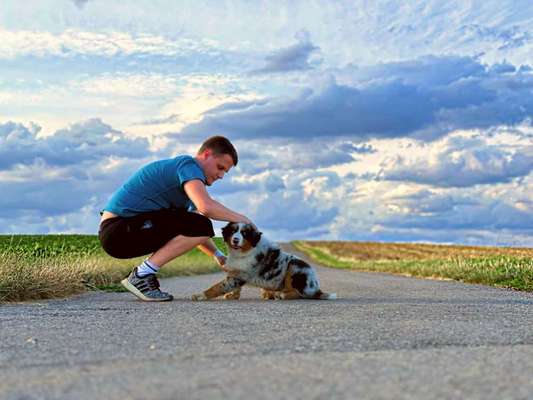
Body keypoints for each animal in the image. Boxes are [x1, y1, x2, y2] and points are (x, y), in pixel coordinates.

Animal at [191, 222, 336, 300]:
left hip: (295, 266)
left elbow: (219, 286)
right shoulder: (236, 272)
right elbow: (233, 287)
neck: (243, 252)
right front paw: (233, 296)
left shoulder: (240, 275)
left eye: (244, 234)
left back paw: (280, 295)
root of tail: (316, 287)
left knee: (300, 294)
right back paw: (270, 293)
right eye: (233, 231)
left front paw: (200, 295)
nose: (235, 240)